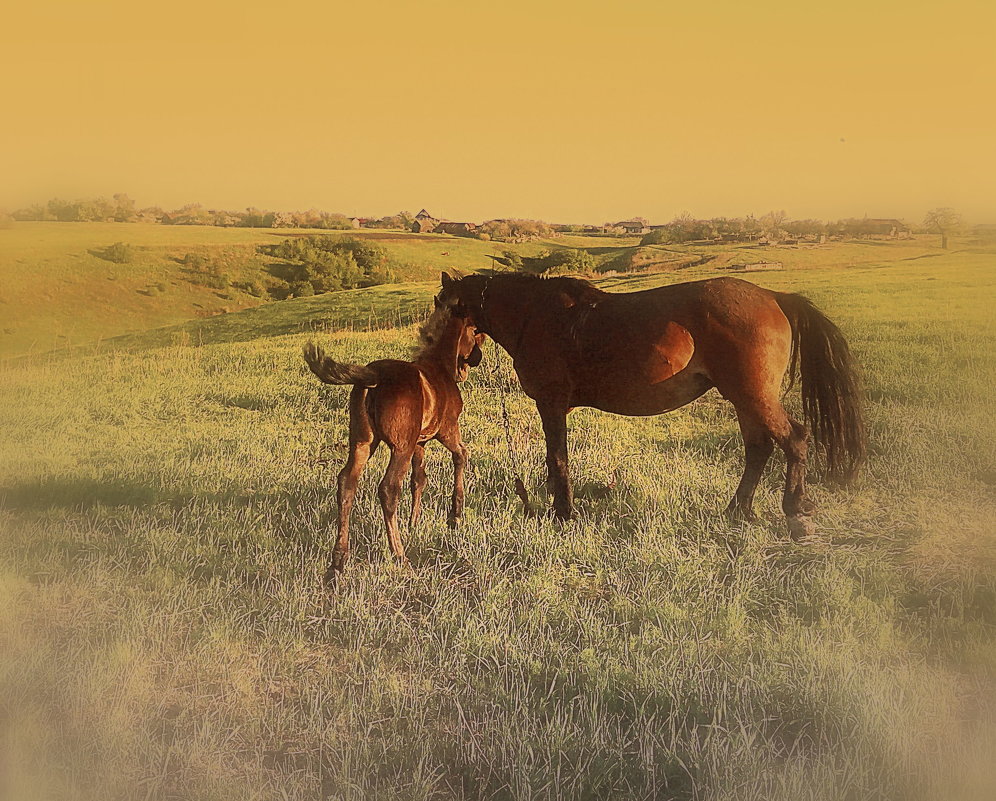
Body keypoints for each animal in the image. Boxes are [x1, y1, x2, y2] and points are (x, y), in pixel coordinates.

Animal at [308, 302, 486, 580]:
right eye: (473, 330)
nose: (477, 357)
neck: (440, 366)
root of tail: (373, 375)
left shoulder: (419, 442)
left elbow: (418, 479)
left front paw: (414, 522)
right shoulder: (447, 429)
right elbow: (461, 455)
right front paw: (455, 517)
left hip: (362, 442)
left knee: (346, 482)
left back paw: (337, 564)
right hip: (399, 447)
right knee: (388, 488)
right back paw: (400, 556)